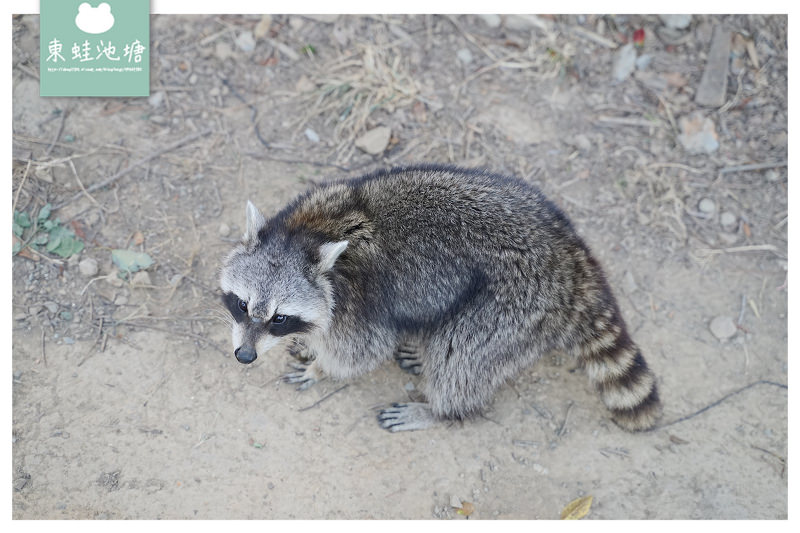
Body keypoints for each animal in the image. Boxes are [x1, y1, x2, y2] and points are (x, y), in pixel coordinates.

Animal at [220, 165, 664, 432]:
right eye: (242, 305)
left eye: (279, 318)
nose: (245, 357)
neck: (307, 233)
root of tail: (572, 258)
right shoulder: (324, 196)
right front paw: (310, 347)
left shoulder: (360, 305)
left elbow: (359, 353)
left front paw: (321, 368)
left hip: (514, 302)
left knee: (463, 357)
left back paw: (440, 408)